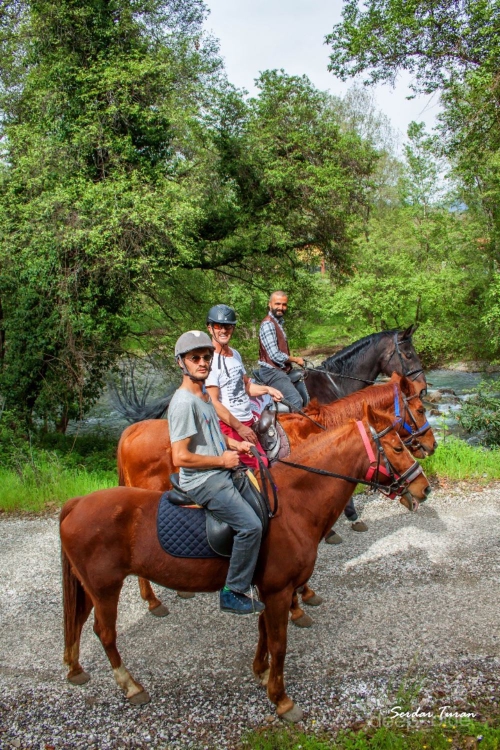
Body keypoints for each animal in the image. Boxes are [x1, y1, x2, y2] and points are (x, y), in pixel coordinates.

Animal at [60, 403, 431, 719]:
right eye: (398, 448)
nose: (424, 488)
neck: (293, 503)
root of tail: (76, 504)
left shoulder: (268, 589)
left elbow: (264, 633)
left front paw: (262, 673)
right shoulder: (279, 590)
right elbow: (279, 643)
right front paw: (282, 699)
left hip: (90, 588)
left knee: (77, 622)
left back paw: (76, 668)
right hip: (105, 588)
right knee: (105, 633)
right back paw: (131, 685)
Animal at [117, 373, 436, 621]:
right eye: (420, 409)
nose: (431, 445)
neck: (313, 432)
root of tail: (129, 433)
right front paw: (303, 596)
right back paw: (154, 601)